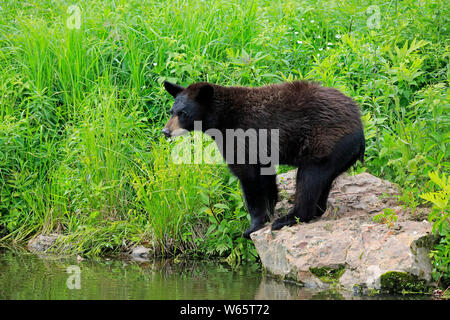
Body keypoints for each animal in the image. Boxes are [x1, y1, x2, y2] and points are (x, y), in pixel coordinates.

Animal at [163, 81, 366, 239]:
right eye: (172, 111)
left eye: (183, 113)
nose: (165, 131)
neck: (221, 119)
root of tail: (360, 128)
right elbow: (265, 178)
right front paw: (268, 212)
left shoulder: (242, 137)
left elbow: (250, 179)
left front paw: (253, 226)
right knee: (323, 182)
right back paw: (316, 210)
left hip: (325, 144)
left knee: (309, 179)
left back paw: (289, 218)